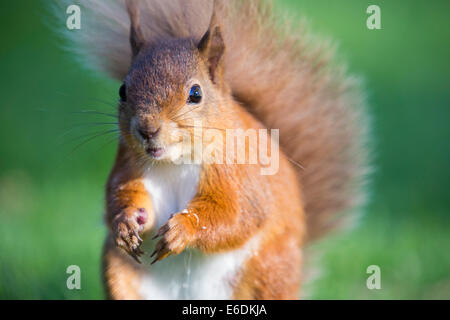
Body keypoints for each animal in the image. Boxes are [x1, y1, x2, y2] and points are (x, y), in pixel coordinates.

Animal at [61, 0, 368, 300]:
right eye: (123, 90)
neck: (175, 162)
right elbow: (119, 193)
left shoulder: (240, 172)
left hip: (269, 271)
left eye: (196, 94)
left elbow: (236, 215)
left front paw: (183, 228)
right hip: (119, 273)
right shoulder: (128, 164)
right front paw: (125, 223)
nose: (147, 129)